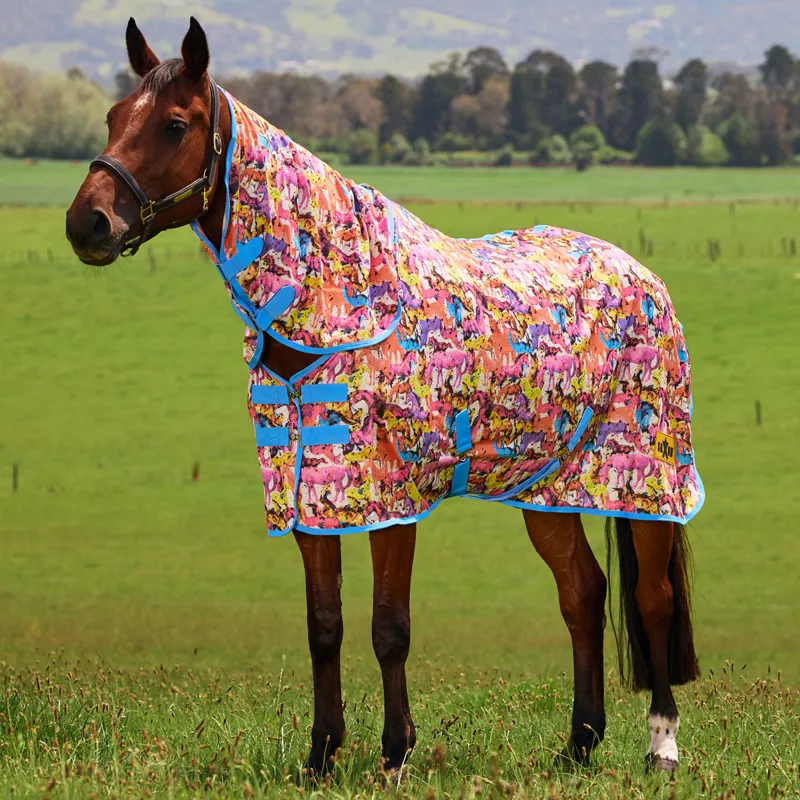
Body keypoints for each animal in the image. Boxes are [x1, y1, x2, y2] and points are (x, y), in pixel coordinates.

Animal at [66, 17, 702, 778]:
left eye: (173, 123)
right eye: (112, 117)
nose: (87, 224)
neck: (334, 305)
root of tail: (642, 275)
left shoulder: (392, 501)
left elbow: (388, 627)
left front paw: (394, 753)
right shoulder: (309, 492)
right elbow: (325, 626)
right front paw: (320, 756)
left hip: (645, 479)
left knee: (652, 598)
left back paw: (661, 745)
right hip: (546, 488)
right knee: (582, 593)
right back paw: (578, 744)